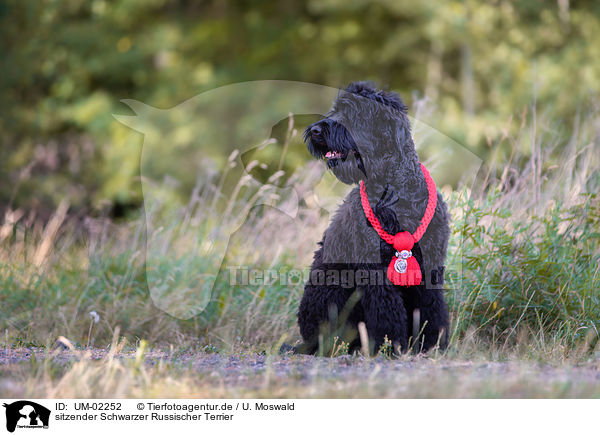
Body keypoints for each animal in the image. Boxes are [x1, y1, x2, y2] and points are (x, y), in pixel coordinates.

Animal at [290, 82, 450, 358]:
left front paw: (432, 345)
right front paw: (393, 346)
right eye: (336, 109)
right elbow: (388, 313)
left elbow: (431, 310)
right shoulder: (376, 273)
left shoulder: (430, 267)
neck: (395, 190)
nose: (316, 130)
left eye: (354, 112)